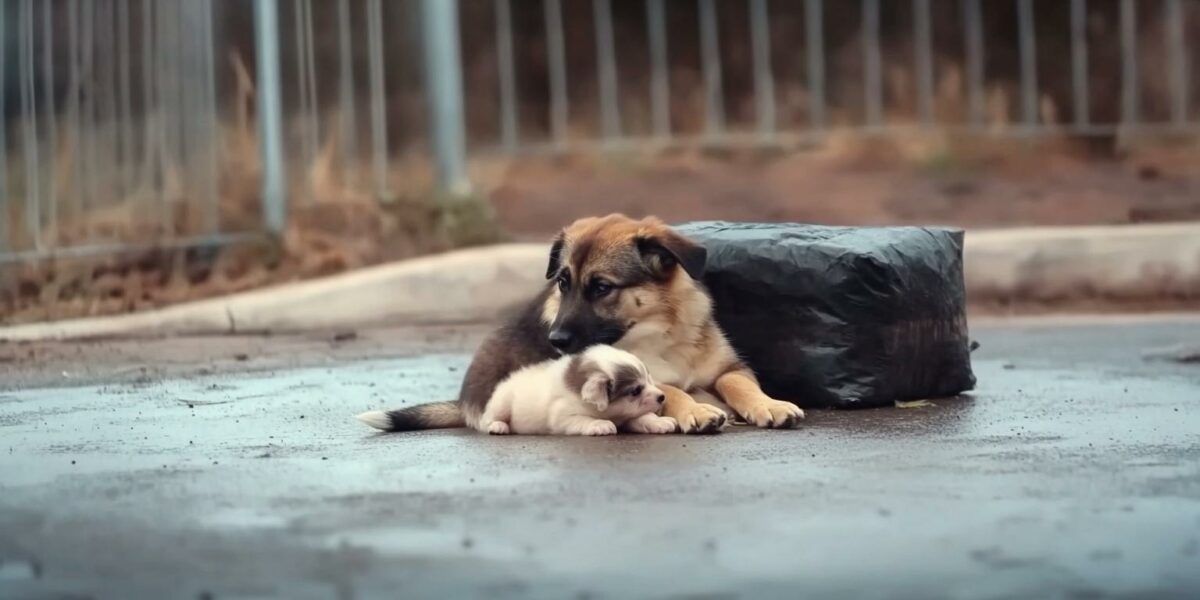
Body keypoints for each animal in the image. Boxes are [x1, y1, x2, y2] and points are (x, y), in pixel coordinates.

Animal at [477, 348, 686, 436]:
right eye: (635, 391)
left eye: (649, 379)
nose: (662, 397)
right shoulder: (562, 417)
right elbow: (584, 419)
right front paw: (599, 425)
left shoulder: (627, 416)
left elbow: (642, 417)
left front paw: (658, 421)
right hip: (501, 402)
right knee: (487, 420)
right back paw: (498, 426)